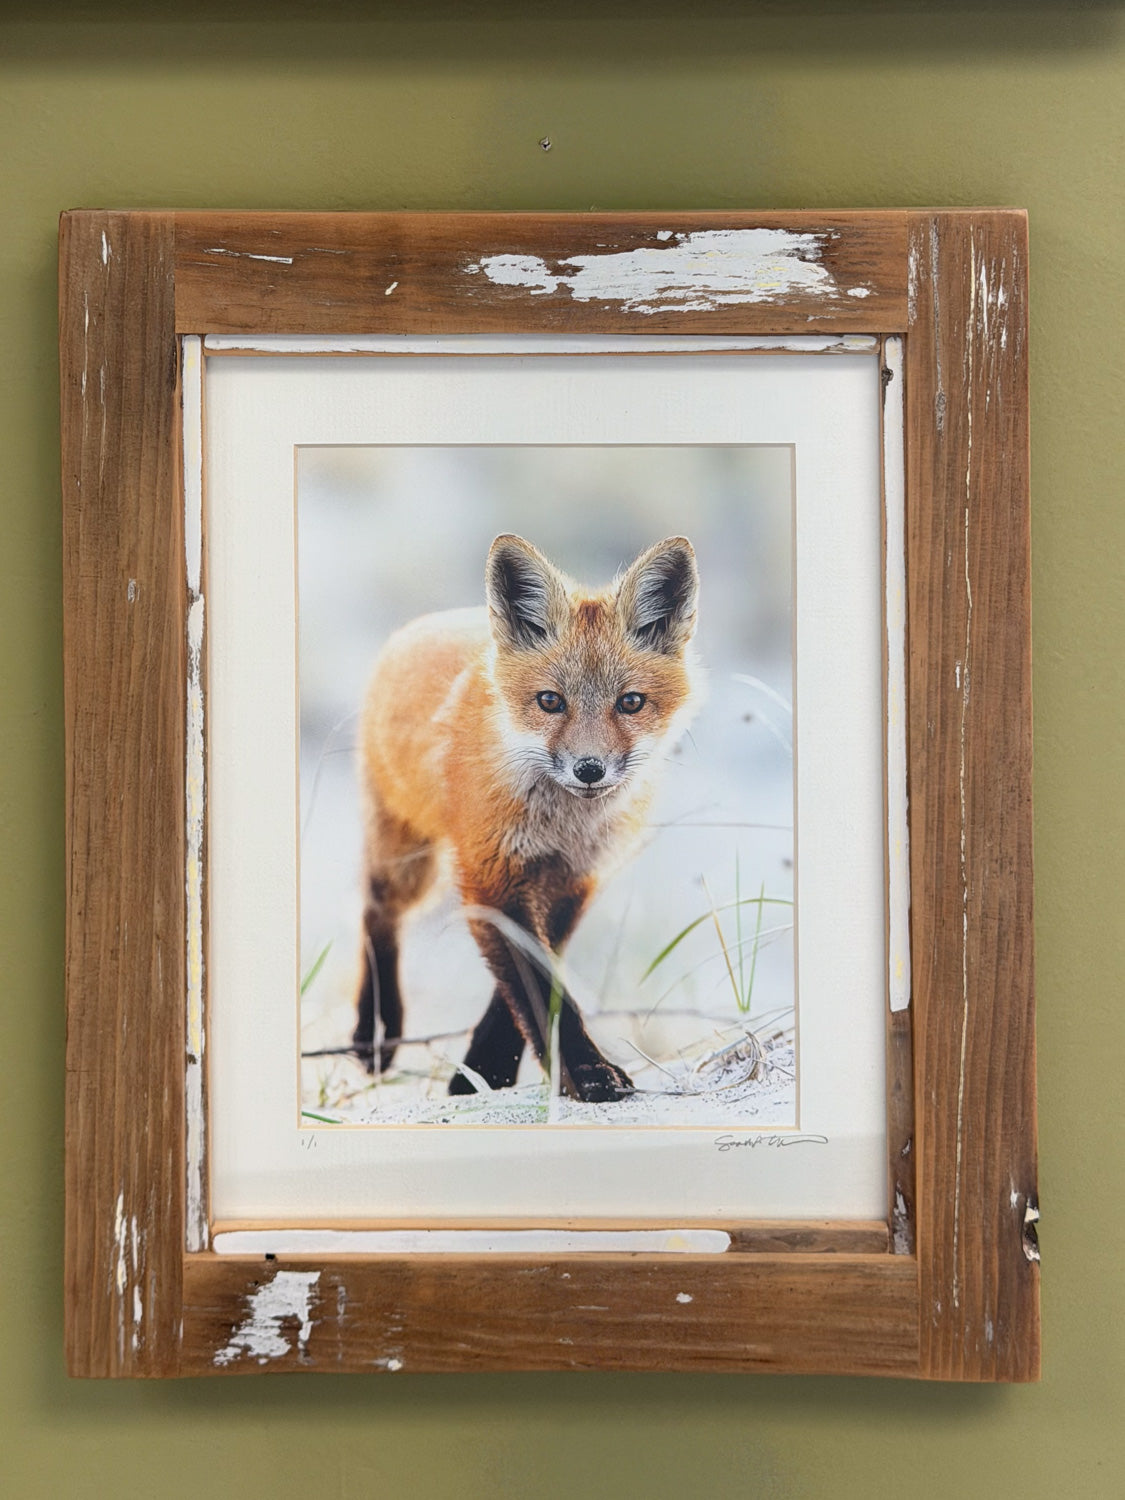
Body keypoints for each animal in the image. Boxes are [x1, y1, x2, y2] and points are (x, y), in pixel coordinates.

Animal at [352, 532, 701, 1103]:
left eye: (630, 703)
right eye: (550, 701)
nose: (589, 769)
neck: (562, 825)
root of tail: (419, 625)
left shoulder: (571, 879)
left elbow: (531, 981)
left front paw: (484, 1072)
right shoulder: (490, 874)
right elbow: (537, 982)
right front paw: (587, 1072)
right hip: (408, 859)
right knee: (374, 912)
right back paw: (376, 1028)